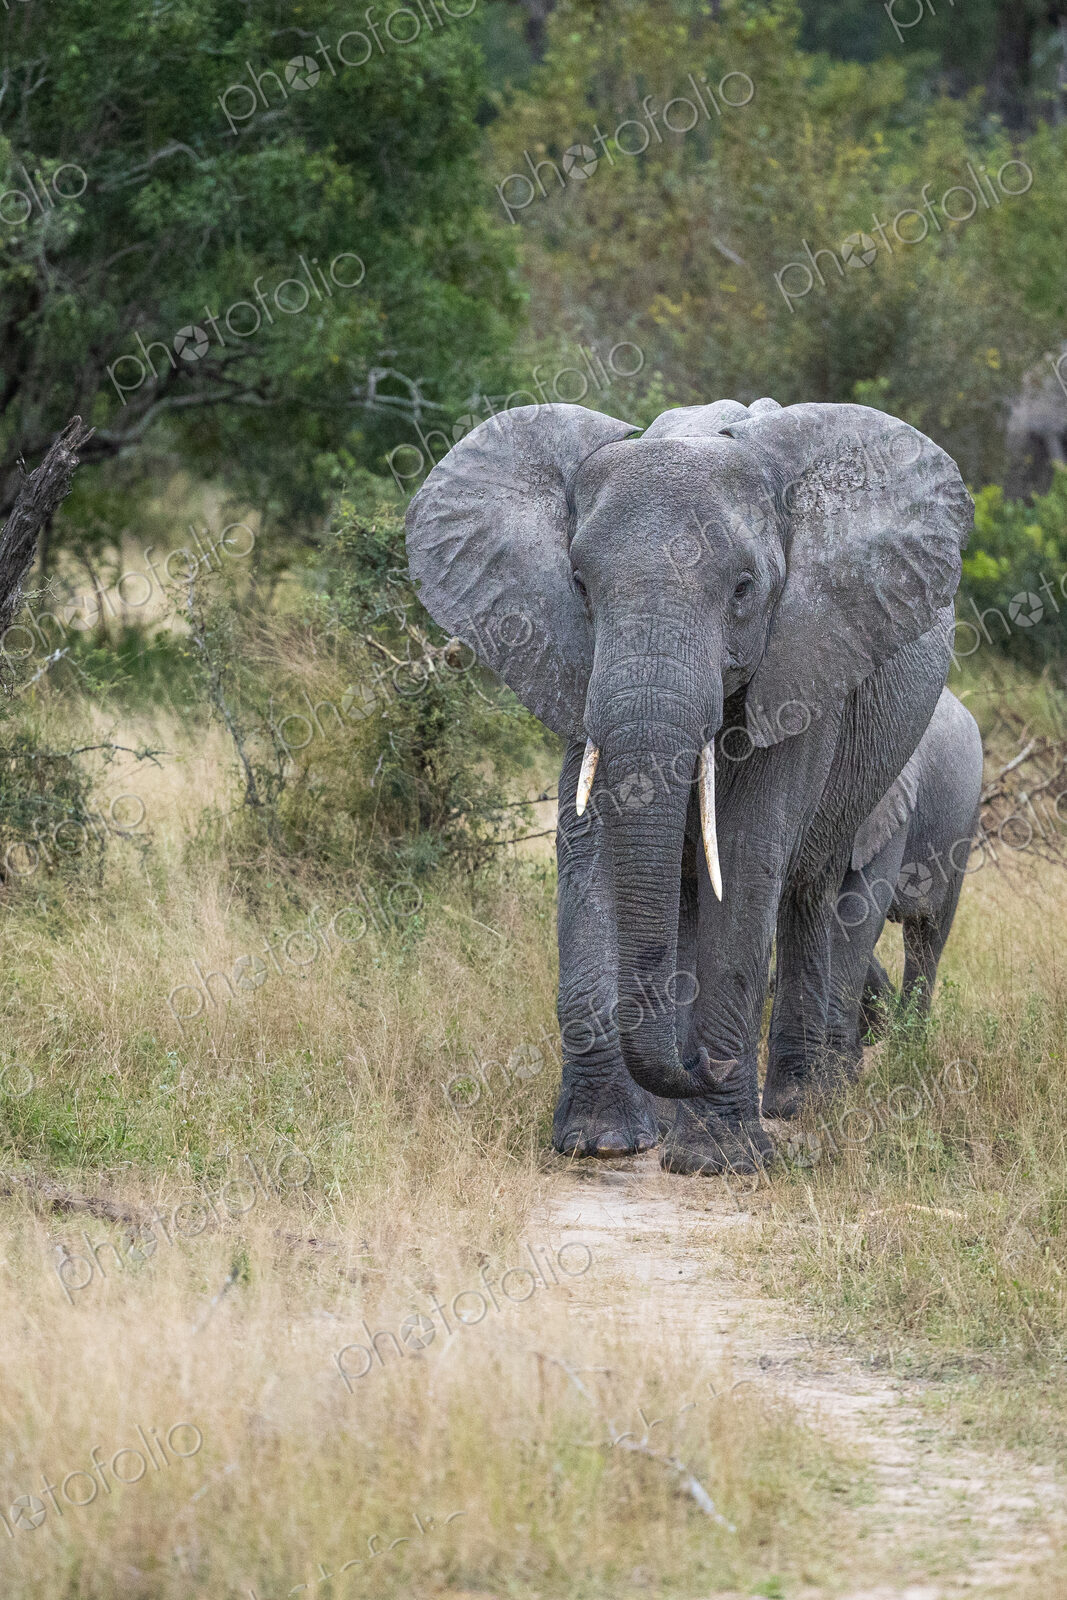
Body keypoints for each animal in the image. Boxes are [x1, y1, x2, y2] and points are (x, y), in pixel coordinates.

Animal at [406, 397, 973, 1174]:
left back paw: (798, 1103)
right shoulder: (577, 669)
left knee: (815, 893)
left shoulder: (802, 658)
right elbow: (590, 848)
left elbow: (742, 855)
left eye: (743, 589)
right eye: (578, 586)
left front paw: (717, 1160)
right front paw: (600, 1142)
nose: (705, 1065)